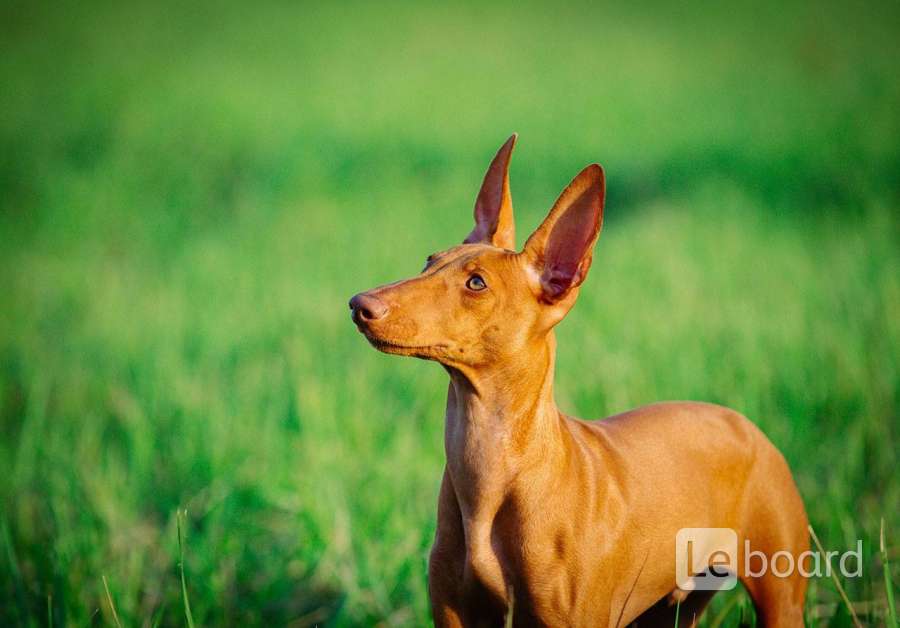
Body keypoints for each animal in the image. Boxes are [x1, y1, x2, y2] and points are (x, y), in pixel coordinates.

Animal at [350, 135, 808, 624]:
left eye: (476, 284)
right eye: (429, 260)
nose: (360, 304)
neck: (492, 464)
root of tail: (742, 422)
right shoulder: (456, 610)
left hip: (781, 598)